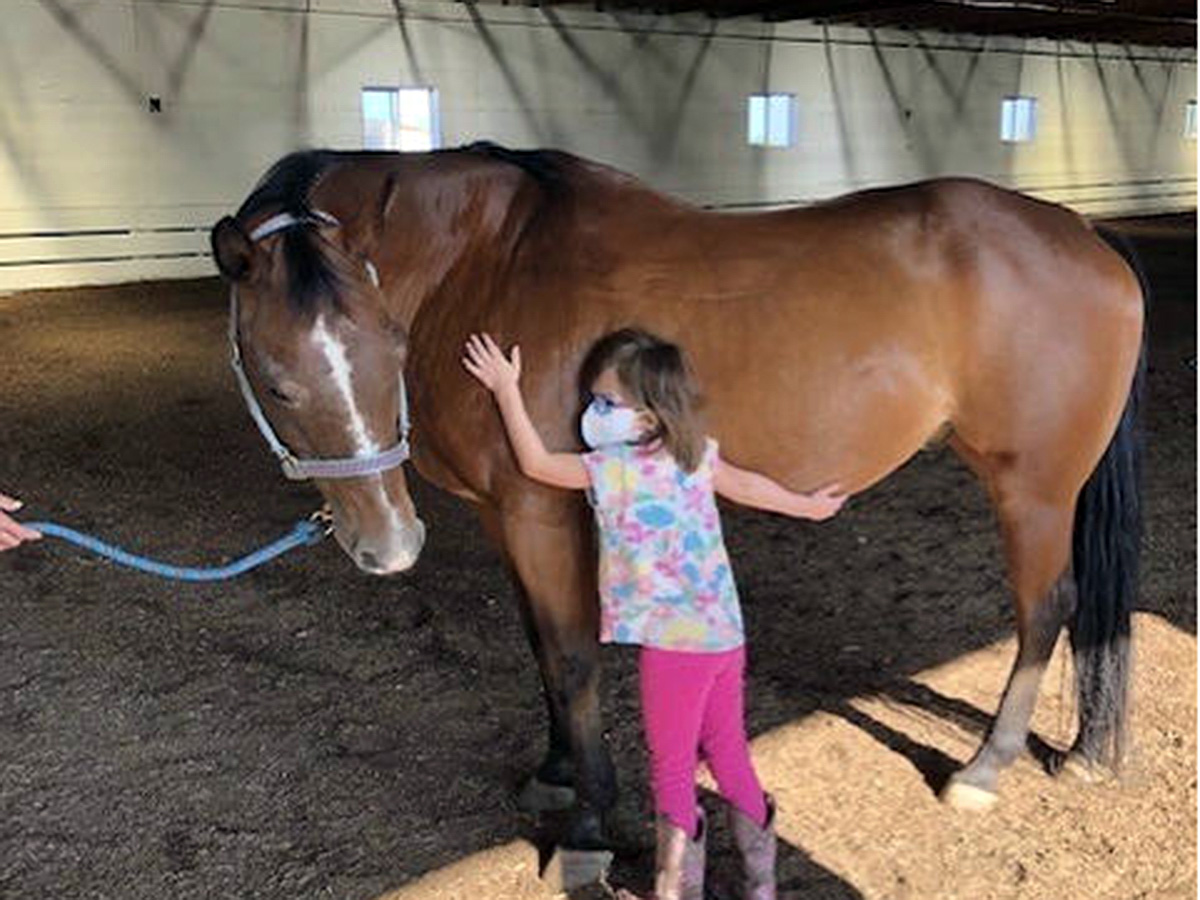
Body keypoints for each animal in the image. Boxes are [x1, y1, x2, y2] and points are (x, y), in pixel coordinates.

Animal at [206, 142, 1142, 854]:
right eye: (280, 380)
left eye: (388, 348)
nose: (391, 546)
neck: (486, 262)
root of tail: (1085, 236)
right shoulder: (502, 514)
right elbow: (540, 646)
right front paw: (554, 774)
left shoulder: (540, 509)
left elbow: (572, 654)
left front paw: (592, 817)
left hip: (1033, 489)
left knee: (1046, 609)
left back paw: (985, 769)